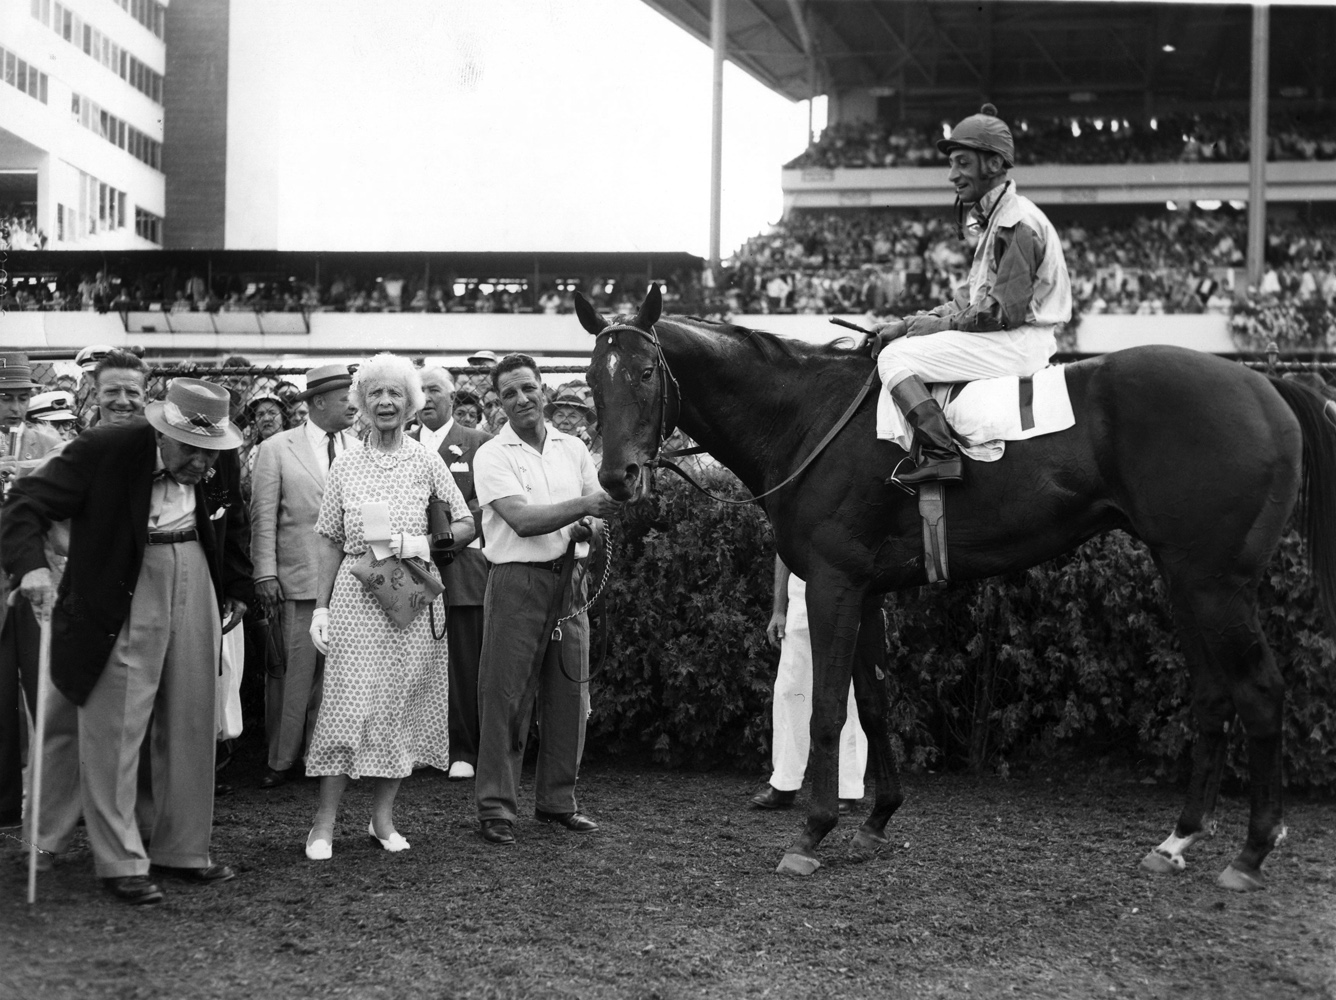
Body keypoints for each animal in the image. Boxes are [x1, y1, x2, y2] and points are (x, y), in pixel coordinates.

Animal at [574, 283, 1336, 891]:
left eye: (645, 370)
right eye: (590, 378)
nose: (616, 477)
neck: (808, 415)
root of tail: (1268, 388)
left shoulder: (833, 581)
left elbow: (828, 708)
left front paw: (813, 832)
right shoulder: (866, 587)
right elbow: (873, 704)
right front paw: (877, 819)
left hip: (1215, 581)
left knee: (1260, 693)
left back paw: (1252, 851)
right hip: (1184, 577)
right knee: (1214, 696)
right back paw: (1178, 838)